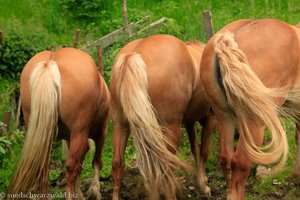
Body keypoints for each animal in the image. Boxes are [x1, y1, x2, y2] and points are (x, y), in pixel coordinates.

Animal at [7, 47, 109, 199]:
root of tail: (51, 61)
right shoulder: (101, 132)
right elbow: (96, 162)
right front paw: (94, 192)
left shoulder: (70, 138)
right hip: (80, 131)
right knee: (71, 167)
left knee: (44, 169)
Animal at [109, 33, 217, 199]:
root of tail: (133, 55)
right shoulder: (210, 118)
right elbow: (204, 151)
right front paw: (204, 186)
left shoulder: (189, 122)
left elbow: (195, 148)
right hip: (171, 128)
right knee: (165, 167)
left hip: (120, 125)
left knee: (117, 163)